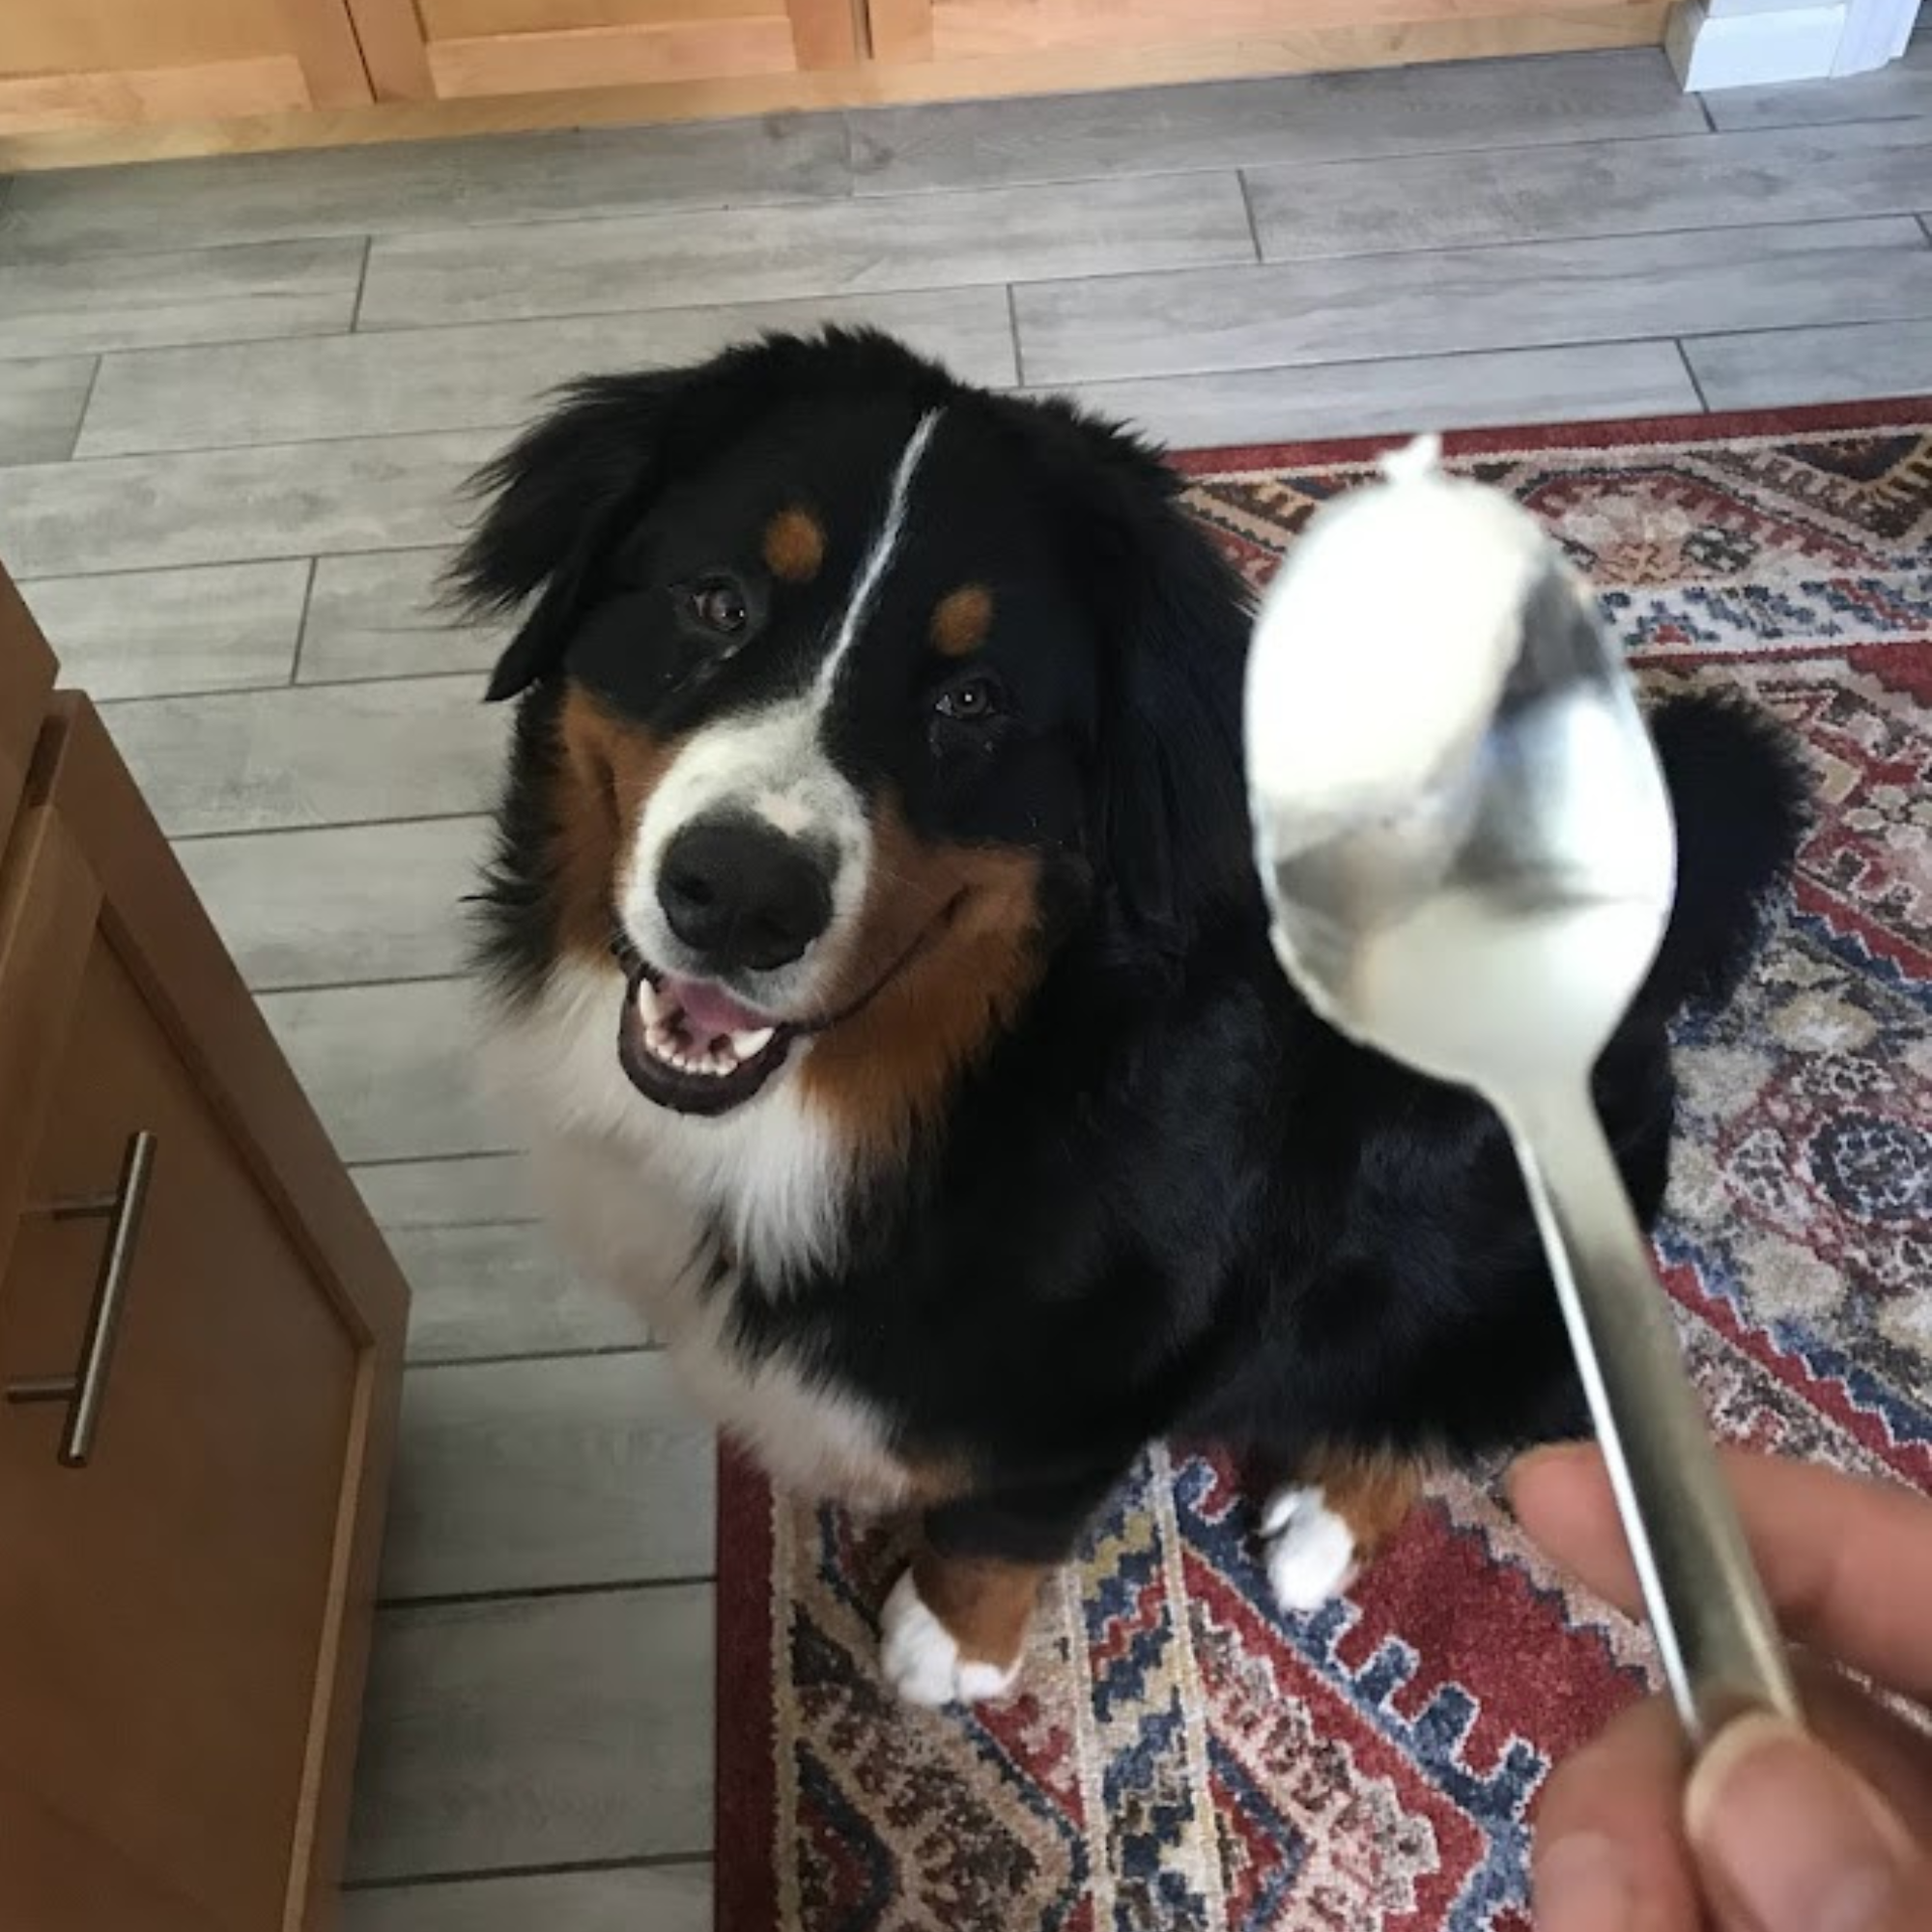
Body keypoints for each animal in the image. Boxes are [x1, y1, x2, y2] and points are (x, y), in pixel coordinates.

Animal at [460, 328, 1801, 1708]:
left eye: (976, 701)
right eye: (717, 603)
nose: (739, 895)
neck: (953, 1081)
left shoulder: (1116, 1363)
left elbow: (1007, 1514)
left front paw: (950, 1641)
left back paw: (1324, 1517)